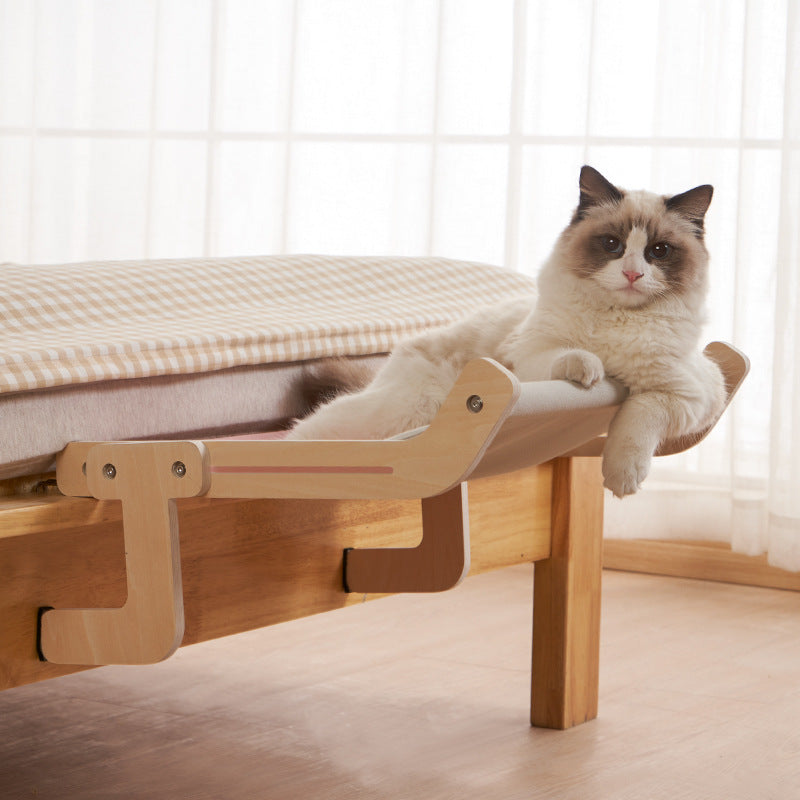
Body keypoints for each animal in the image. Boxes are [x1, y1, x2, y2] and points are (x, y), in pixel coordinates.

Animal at [288, 166, 724, 496]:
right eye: (612, 245)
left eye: (658, 252)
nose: (633, 274)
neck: (619, 322)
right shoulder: (532, 356)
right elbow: (573, 357)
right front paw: (591, 371)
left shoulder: (685, 396)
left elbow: (638, 419)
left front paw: (622, 479)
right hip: (408, 408)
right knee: (312, 431)